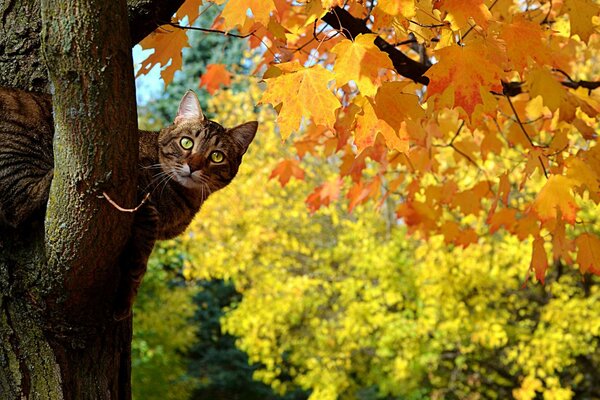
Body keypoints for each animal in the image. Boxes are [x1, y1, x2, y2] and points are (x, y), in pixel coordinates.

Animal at [0, 87, 255, 318]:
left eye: (216, 156)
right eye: (186, 143)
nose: (193, 166)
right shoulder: (144, 206)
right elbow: (140, 260)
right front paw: (126, 299)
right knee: (22, 202)